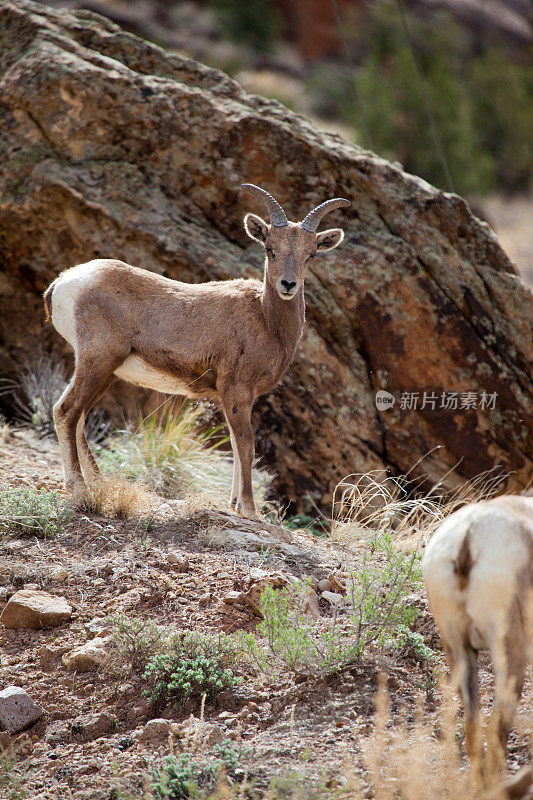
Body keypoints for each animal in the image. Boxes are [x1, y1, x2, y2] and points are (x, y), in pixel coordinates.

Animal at [44, 184, 350, 516]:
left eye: (311, 254)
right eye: (270, 249)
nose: (288, 285)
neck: (265, 319)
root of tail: (62, 283)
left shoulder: (237, 398)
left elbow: (235, 444)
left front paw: (233, 504)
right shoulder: (236, 390)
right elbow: (246, 446)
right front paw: (249, 510)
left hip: (105, 372)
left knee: (78, 418)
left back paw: (100, 484)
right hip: (97, 361)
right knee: (66, 412)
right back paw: (80, 491)